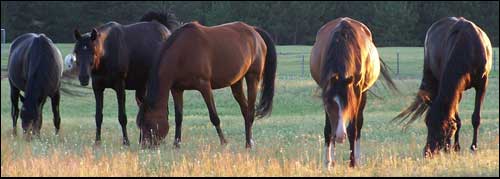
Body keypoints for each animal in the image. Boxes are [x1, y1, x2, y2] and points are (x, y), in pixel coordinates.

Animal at [72, 11, 178, 145]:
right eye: (76, 51)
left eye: (93, 51)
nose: (84, 77)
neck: (107, 53)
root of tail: (166, 30)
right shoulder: (97, 87)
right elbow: (98, 116)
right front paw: (97, 142)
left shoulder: (120, 86)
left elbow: (122, 117)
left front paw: (126, 142)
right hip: (141, 86)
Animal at [137, 21, 278, 150]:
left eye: (147, 123)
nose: (144, 146)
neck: (182, 53)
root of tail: (254, 31)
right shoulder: (177, 89)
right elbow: (178, 117)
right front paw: (176, 144)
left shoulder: (204, 86)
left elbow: (214, 117)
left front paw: (224, 142)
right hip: (236, 83)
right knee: (245, 110)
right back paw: (249, 141)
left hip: (252, 77)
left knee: (250, 111)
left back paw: (249, 144)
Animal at [308, 17, 398, 168]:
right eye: (329, 105)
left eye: (348, 104)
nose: (340, 136)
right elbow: (328, 129)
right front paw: (328, 163)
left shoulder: (356, 93)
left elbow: (353, 130)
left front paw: (353, 163)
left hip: (363, 95)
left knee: (358, 127)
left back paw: (358, 159)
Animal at [390, 16, 492, 157]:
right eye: (427, 124)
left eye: (443, 127)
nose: (427, 152)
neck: (468, 49)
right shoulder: (456, 88)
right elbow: (456, 119)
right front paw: (454, 147)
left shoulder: (482, 84)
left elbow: (475, 118)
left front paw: (473, 147)